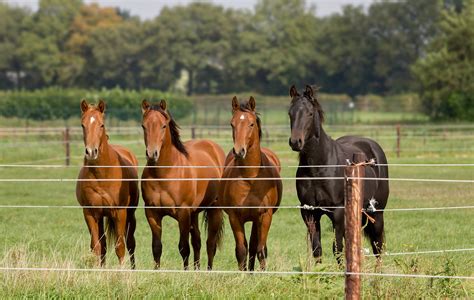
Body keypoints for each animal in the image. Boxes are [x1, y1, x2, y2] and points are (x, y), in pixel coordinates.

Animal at [75, 99, 139, 268]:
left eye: (101, 125)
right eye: (82, 125)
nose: (91, 152)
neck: (102, 176)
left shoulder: (119, 213)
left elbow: (120, 246)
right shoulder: (90, 213)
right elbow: (97, 246)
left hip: (130, 215)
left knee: (131, 243)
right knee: (102, 243)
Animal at [141, 98, 226, 270]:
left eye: (163, 126)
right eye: (143, 126)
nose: (152, 154)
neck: (164, 174)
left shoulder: (183, 213)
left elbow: (183, 247)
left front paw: (185, 272)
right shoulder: (152, 212)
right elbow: (156, 247)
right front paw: (156, 271)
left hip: (214, 210)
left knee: (210, 244)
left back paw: (208, 271)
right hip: (194, 213)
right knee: (197, 241)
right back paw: (197, 270)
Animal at [220, 96, 284, 272]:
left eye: (251, 124)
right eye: (232, 124)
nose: (239, 151)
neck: (250, 178)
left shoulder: (265, 215)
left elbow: (261, 250)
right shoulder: (235, 217)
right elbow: (241, 250)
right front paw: (243, 275)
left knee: (256, 247)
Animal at [288, 84, 388, 262]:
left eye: (310, 113)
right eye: (290, 113)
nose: (295, 142)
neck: (319, 169)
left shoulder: (338, 212)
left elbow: (338, 249)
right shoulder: (309, 212)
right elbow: (317, 249)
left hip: (377, 213)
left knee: (378, 247)